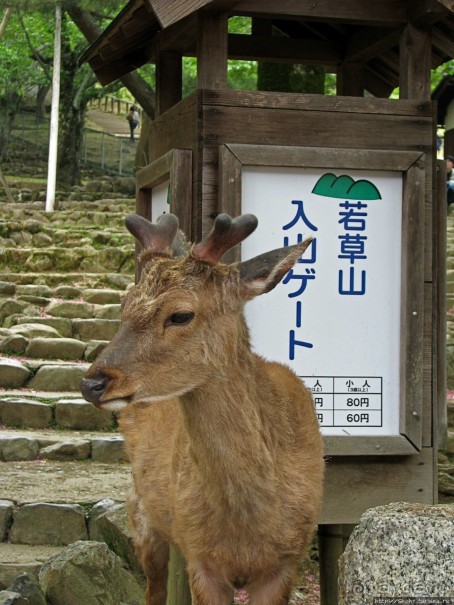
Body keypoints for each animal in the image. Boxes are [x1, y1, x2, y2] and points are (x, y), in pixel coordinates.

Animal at [80, 212, 322, 604]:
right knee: (153, 589)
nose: (93, 383)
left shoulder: (285, 562)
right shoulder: (201, 559)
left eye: (180, 314)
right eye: (124, 306)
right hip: (142, 513)